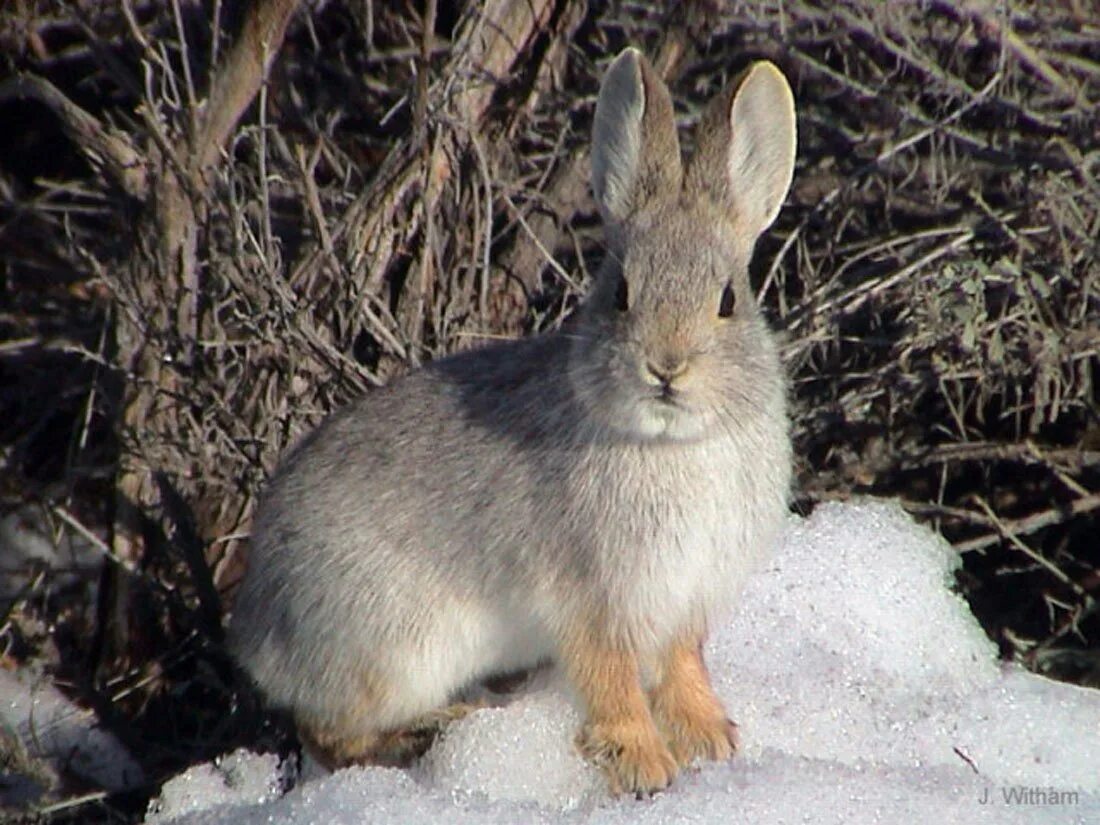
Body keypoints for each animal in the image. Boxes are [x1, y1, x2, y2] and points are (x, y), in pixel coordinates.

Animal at [227, 48, 796, 796]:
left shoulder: (680, 603)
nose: (666, 367)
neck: (676, 441)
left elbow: (682, 669)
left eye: (728, 300)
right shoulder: (592, 599)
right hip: (398, 646)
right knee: (329, 733)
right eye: (620, 294)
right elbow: (611, 684)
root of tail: (258, 631)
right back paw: (434, 727)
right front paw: (644, 766)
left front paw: (711, 739)